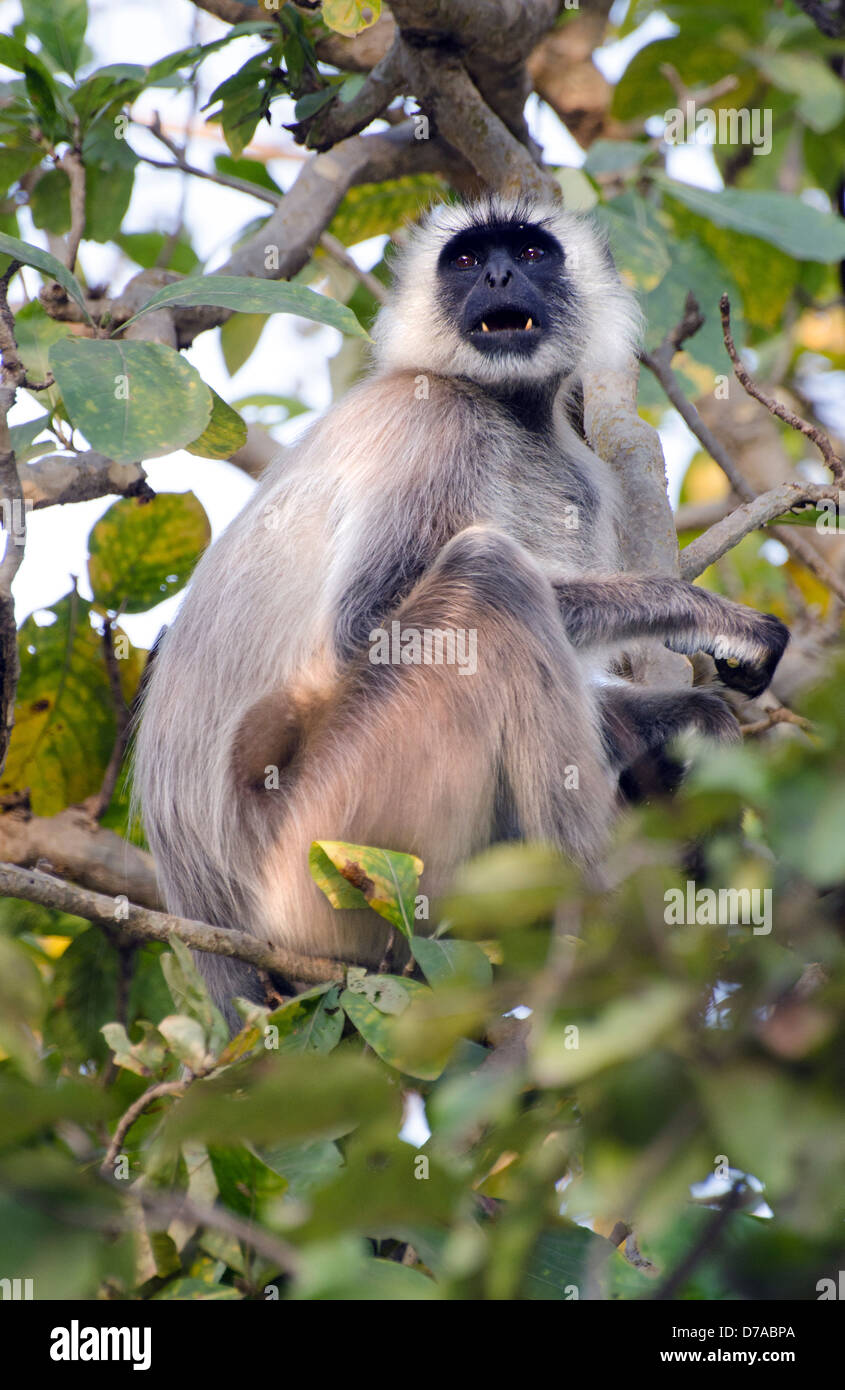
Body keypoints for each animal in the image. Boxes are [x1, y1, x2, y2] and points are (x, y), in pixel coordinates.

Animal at [135, 193, 789, 1023]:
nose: (501, 276)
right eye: (469, 260)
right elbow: (362, 630)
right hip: (332, 849)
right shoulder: (436, 424)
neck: (508, 411)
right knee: (488, 573)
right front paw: (701, 613)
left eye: (530, 252)